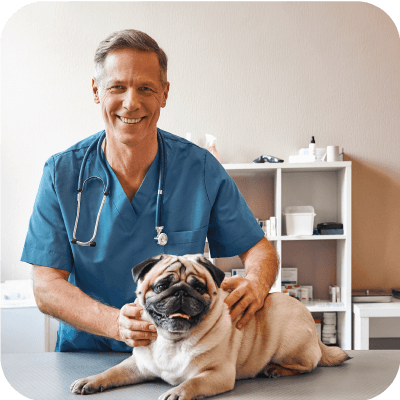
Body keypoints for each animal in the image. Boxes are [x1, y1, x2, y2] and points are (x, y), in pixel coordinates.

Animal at [71, 255, 350, 398]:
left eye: (199, 287)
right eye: (161, 286)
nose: (181, 291)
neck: (173, 340)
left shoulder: (218, 374)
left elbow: (192, 383)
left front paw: (178, 392)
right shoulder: (137, 366)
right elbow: (111, 372)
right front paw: (91, 380)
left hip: (290, 346)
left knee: (308, 365)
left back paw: (275, 370)